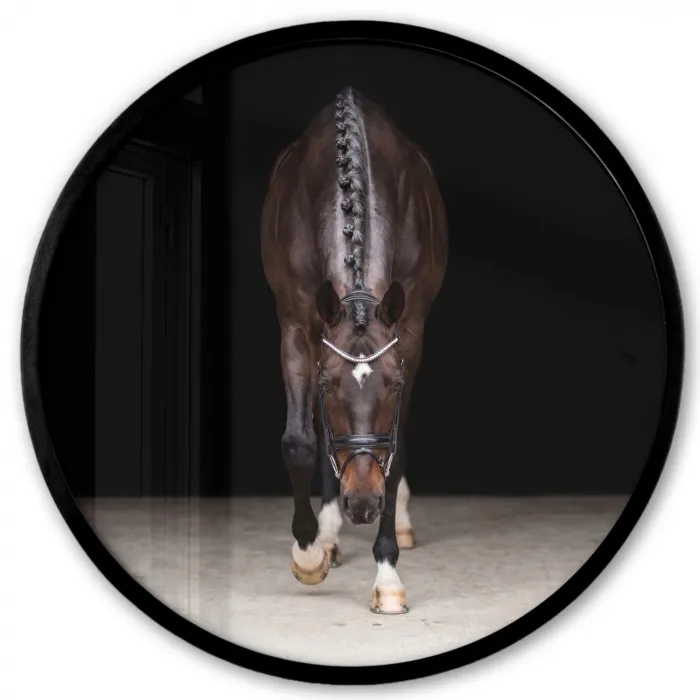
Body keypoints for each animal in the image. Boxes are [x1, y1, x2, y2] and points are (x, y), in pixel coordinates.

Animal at [261, 86, 448, 613]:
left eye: (393, 386)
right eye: (328, 386)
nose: (362, 504)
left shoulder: (410, 331)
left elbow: (394, 451)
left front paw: (387, 576)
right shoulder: (296, 325)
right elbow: (301, 441)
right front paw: (308, 553)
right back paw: (327, 535)